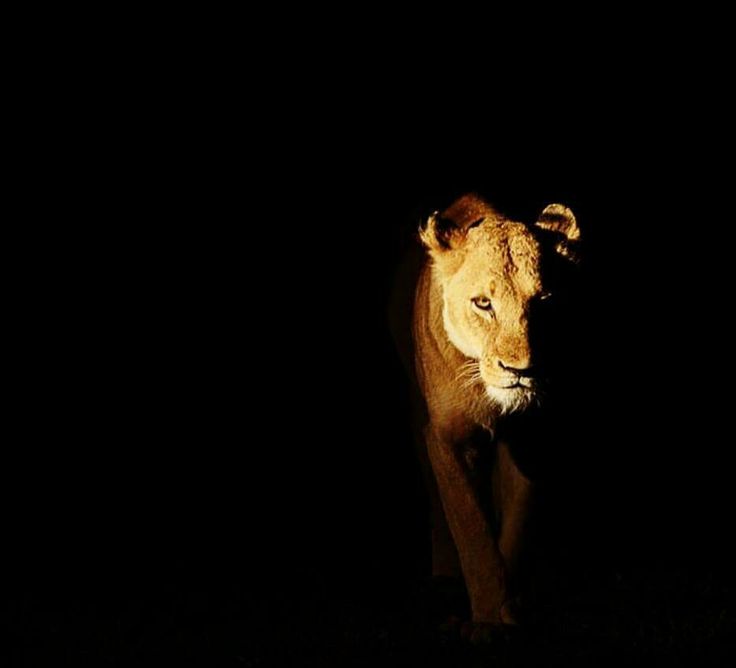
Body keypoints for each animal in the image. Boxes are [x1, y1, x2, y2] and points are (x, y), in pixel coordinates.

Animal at [393, 192, 581, 640]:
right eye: (483, 303)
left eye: (543, 301)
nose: (521, 370)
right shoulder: (449, 436)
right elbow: (472, 529)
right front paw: (486, 620)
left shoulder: (533, 438)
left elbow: (517, 523)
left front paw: (509, 606)